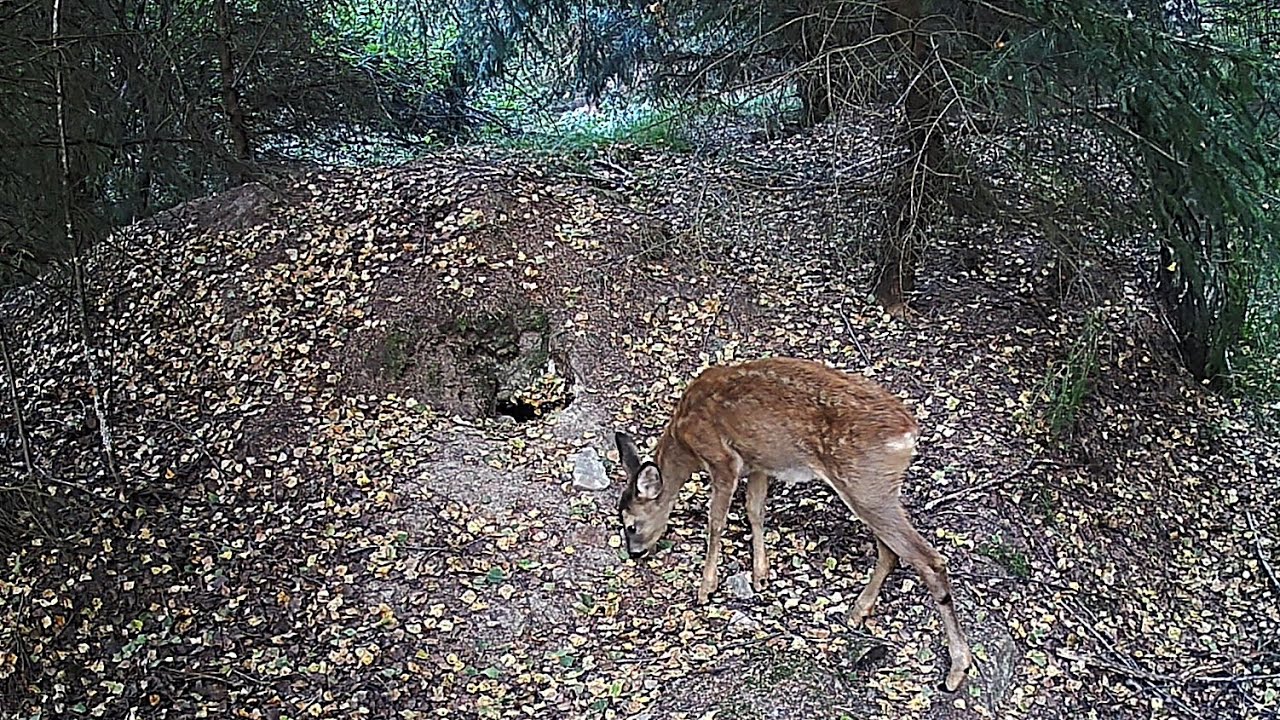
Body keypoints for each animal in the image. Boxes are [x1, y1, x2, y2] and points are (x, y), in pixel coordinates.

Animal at [613, 356, 973, 691]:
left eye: (631, 525)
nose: (634, 552)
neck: (684, 440)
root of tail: (908, 434)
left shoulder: (722, 460)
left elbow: (716, 521)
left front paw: (706, 588)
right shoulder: (759, 463)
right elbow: (754, 510)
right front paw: (760, 575)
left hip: (865, 486)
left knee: (928, 559)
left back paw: (957, 670)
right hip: (874, 492)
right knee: (891, 552)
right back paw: (857, 612)